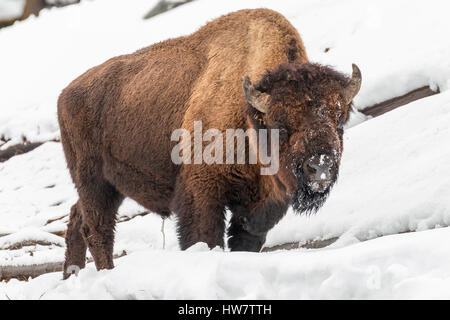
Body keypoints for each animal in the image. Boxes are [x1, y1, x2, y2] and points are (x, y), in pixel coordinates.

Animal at [59, 8, 362, 278]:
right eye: (281, 125)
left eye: (339, 119)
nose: (320, 166)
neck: (249, 117)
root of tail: (66, 93)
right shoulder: (202, 192)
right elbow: (203, 237)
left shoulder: (260, 207)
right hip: (94, 182)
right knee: (97, 229)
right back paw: (104, 273)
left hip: (107, 186)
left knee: (76, 217)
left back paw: (72, 275)